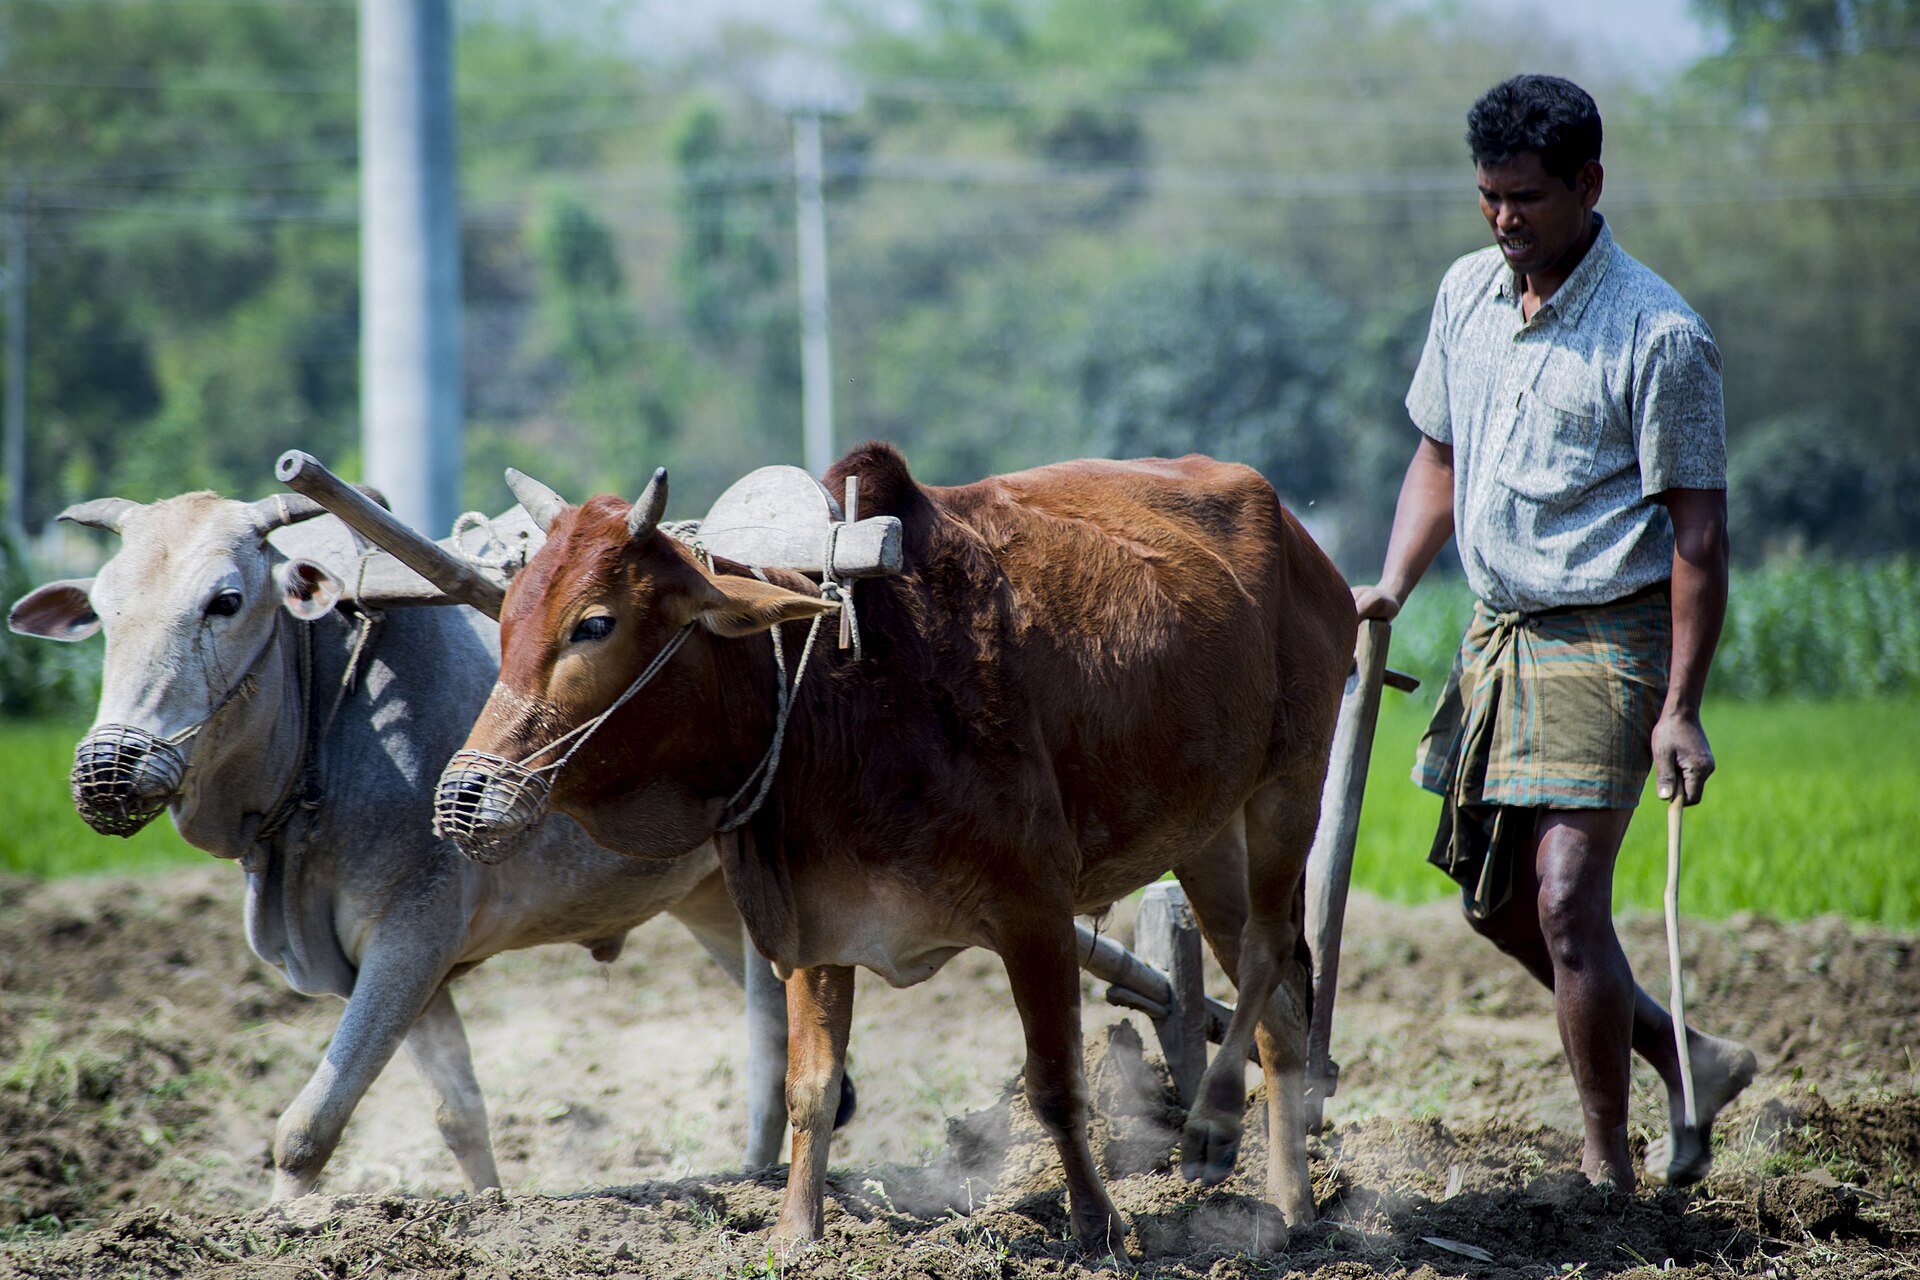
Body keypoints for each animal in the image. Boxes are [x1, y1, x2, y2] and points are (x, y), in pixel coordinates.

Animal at [5, 489, 822, 1199]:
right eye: (104, 612)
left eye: (225, 601)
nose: (108, 767)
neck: (327, 713)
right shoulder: (401, 967)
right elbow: (458, 1114)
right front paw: (488, 1208)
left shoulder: (411, 936)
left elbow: (307, 1127)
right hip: (710, 901)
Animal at [431, 443, 1356, 1255]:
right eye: (506, 618)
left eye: (594, 623)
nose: (463, 797)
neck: (834, 702)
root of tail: (1308, 547)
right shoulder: (815, 926)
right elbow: (810, 1091)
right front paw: (796, 1232)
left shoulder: (1035, 912)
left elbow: (1056, 1085)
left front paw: (1097, 1226)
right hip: (1208, 832)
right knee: (1278, 1007)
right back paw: (1290, 1206)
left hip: (1292, 782)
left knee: (1271, 952)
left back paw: (1214, 1126)